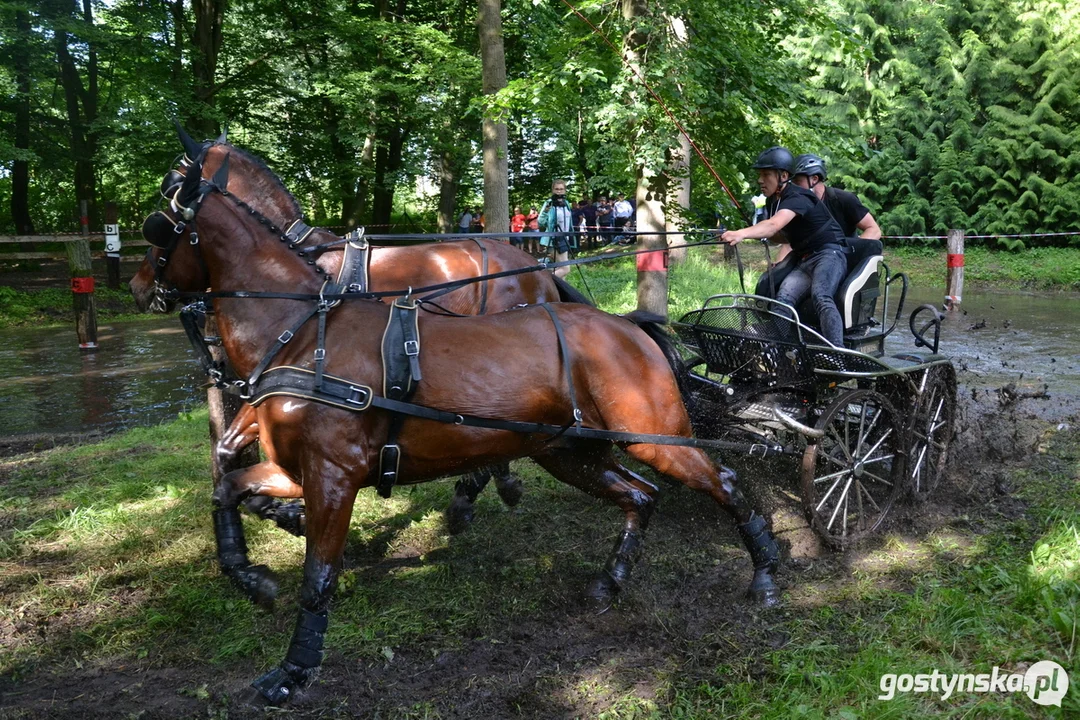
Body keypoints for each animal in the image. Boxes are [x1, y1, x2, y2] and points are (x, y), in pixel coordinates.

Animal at [147, 156, 781, 703]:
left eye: (157, 225)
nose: (136, 287)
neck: (304, 332)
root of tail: (628, 327)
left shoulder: (333, 477)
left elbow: (318, 576)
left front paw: (293, 670)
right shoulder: (290, 467)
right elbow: (227, 485)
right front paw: (251, 577)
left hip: (653, 438)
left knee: (722, 480)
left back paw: (767, 573)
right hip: (570, 452)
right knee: (641, 495)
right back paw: (608, 578)